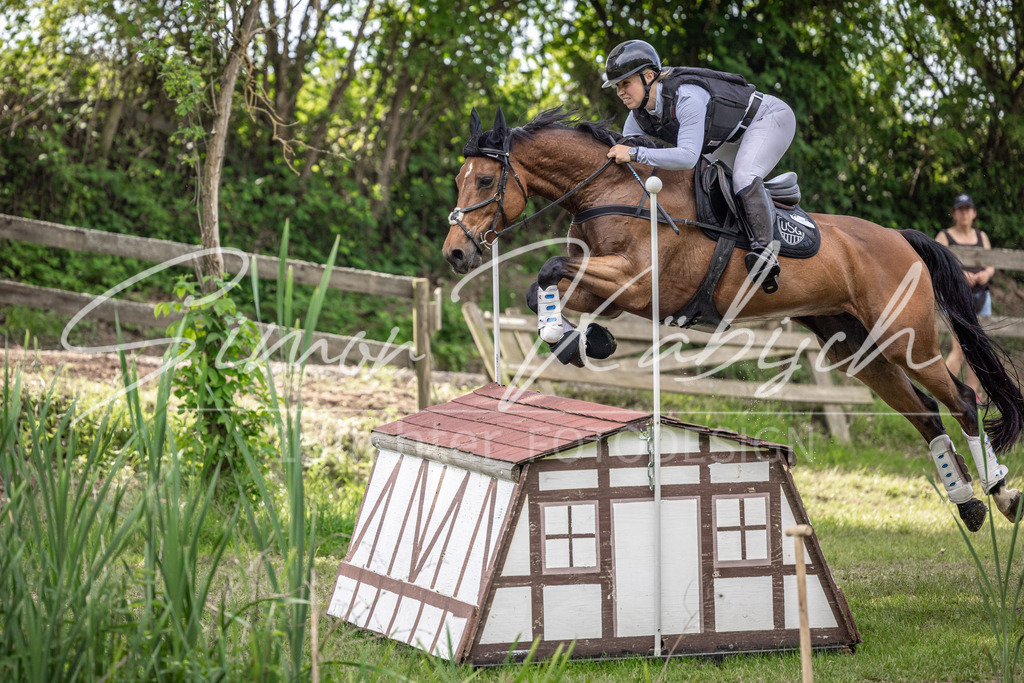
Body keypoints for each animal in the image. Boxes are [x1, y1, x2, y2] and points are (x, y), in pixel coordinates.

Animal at [442, 107, 1024, 532]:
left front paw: (584, 341)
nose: (455, 253)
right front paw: (580, 342)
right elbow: (543, 286)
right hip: (856, 350)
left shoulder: (638, 283)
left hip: (906, 339)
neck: (613, 193)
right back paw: (969, 502)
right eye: (460, 179)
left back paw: (1001, 493)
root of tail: (901, 239)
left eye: (486, 179)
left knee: (963, 400)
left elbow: (547, 268)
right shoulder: (603, 286)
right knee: (926, 415)